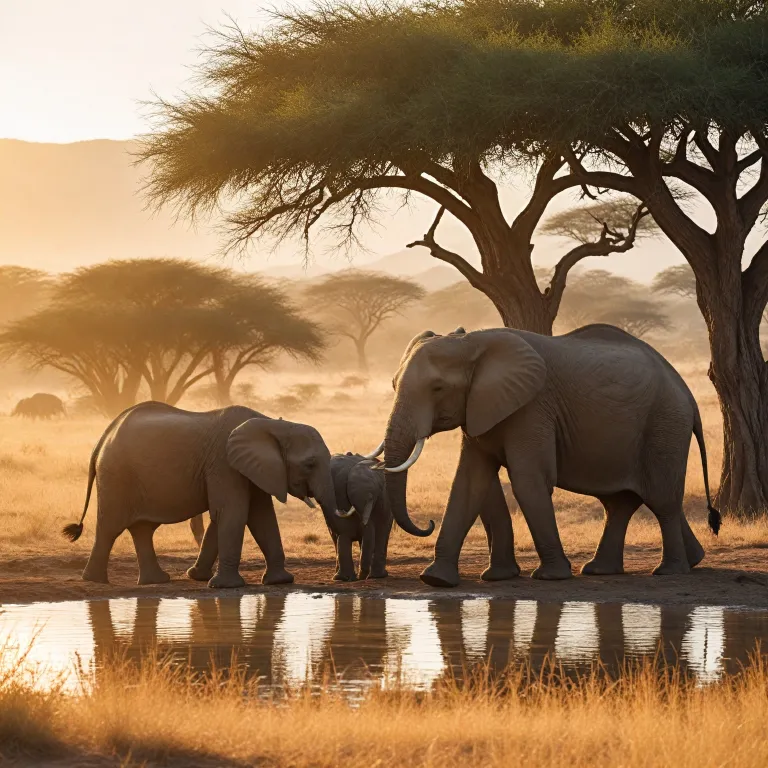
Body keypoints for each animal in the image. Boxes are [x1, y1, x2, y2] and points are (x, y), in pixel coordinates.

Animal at [62, 401, 342, 588]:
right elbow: (234, 512)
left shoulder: (255, 468)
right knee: (110, 526)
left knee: (142, 529)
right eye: (309, 464)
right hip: (116, 475)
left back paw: (156, 581)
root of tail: (104, 435)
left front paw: (279, 582)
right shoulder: (224, 464)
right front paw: (227, 586)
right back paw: (96, 581)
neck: (274, 424)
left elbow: (259, 517)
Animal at [328, 452, 393, 581]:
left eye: (372, 497)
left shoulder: (383, 499)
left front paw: (377, 576)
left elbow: (381, 529)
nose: (361, 576)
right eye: (349, 494)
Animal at [370, 325, 721, 588]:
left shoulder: (532, 408)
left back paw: (669, 571)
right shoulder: (481, 408)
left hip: (664, 425)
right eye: (393, 384)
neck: (472, 342)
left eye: (438, 388)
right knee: (621, 503)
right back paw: (613, 568)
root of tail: (687, 392)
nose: (426, 523)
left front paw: (551, 577)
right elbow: (468, 484)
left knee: (661, 500)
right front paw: (436, 580)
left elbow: (528, 482)